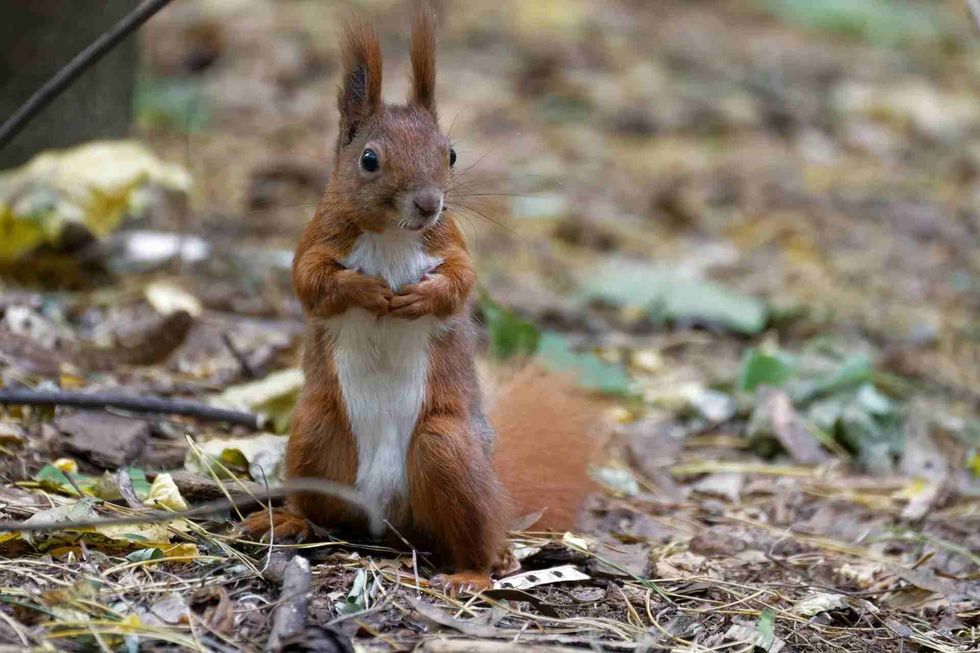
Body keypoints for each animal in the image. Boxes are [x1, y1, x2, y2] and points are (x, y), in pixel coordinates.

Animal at [242, 6, 600, 594]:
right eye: (368, 160)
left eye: (450, 153)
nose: (429, 204)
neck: (391, 235)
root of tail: (386, 516)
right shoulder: (317, 239)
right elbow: (311, 281)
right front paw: (367, 291)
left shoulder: (449, 242)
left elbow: (461, 281)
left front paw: (419, 298)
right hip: (316, 433)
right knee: (319, 505)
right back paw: (291, 520)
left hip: (445, 449)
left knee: (474, 536)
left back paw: (477, 570)